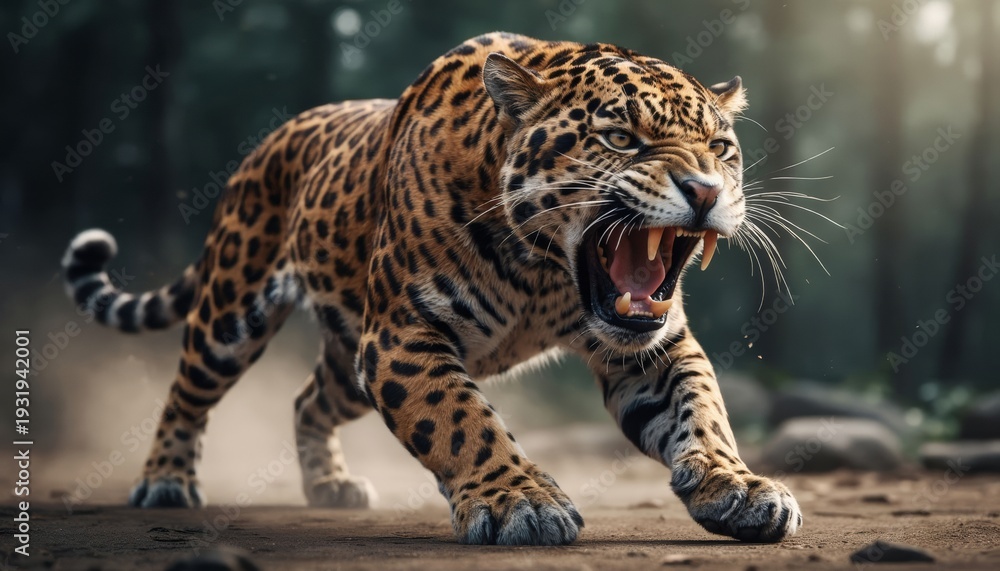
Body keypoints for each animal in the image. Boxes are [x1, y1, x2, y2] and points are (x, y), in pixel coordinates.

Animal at [62, 32, 801, 545]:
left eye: (721, 148)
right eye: (620, 137)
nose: (705, 192)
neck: (544, 275)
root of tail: (272, 138)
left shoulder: (653, 346)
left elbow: (702, 409)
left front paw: (738, 487)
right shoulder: (401, 335)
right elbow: (459, 418)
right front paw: (520, 502)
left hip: (347, 363)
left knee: (307, 399)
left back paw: (330, 485)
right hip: (233, 309)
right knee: (187, 390)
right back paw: (165, 479)